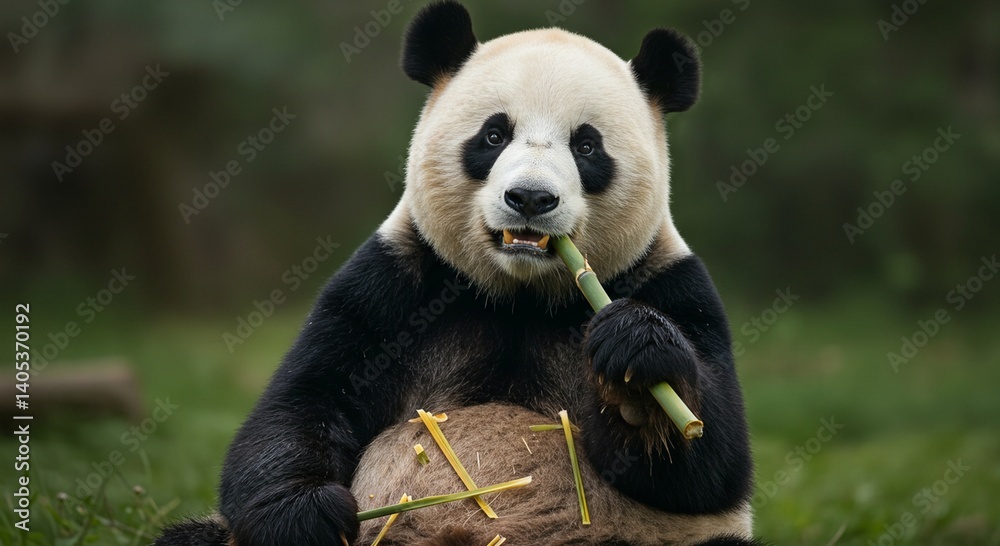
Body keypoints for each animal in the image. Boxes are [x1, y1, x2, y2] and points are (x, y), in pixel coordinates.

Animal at [155, 2, 759, 545]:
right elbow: (302, 404)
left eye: (587, 145)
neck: (521, 295)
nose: (531, 198)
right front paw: (306, 516)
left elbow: (710, 467)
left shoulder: (670, 282)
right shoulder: (393, 285)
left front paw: (635, 376)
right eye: (493, 136)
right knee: (192, 537)